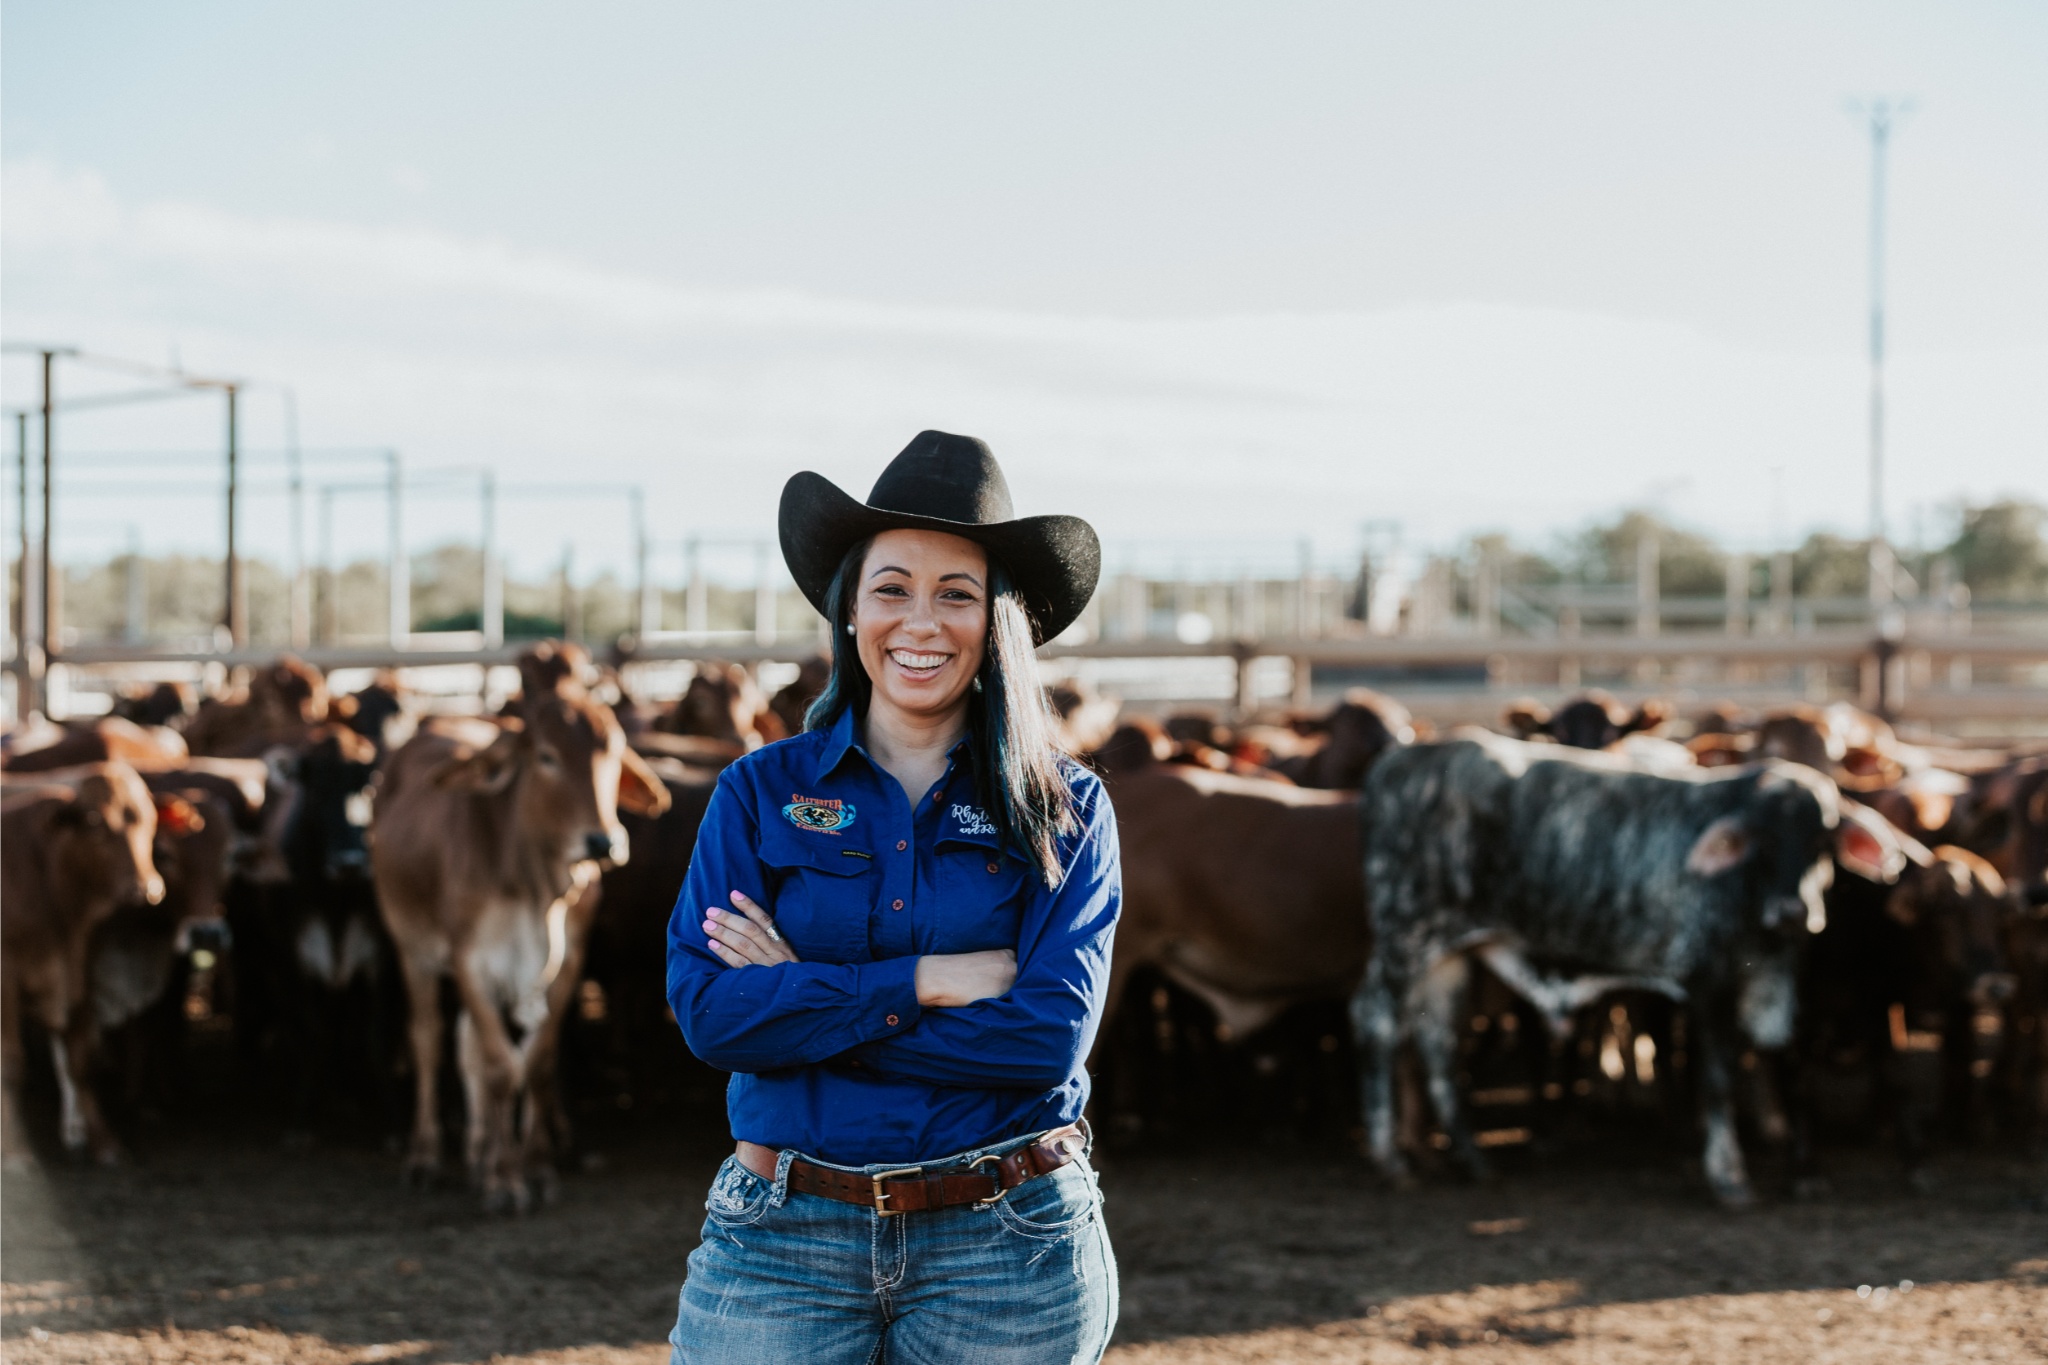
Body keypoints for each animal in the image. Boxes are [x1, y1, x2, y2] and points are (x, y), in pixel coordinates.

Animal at [1, 765, 165, 1170]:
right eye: (95, 823)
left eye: (149, 818)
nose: (146, 889)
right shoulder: (6, 978)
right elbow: (11, 1064)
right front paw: (14, 1152)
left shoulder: (80, 969)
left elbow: (80, 1060)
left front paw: (103, 1141)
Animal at [372, 654, 667, 1211]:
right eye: (547, 756)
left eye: (614, 752)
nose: (603, 842)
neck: (534, 887)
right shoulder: (470, 962)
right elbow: (499, 1067)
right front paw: (506, 1181)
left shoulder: (567, 965)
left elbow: (535, 1064)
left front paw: (534, 1168)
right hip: (411, 949)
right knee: (430, 1040)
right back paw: (426, 1155)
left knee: (466, 1045)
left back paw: (480, 1151)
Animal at [1351, 736, 1908, 1203]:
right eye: (1762, 841)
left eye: (1821, 840)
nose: (1792, 911)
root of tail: (1400, 761)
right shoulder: (1708, 979)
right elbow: (1719, 1079)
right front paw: (1728, 1176)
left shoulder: (1783, 979)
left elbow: (1792, 1068)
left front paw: (1805, 1170)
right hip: (1404, 935)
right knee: (1376, 1021)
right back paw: (1390, 1160)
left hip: (1448, 954)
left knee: (1438, 1041)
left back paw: (1471, 1159)